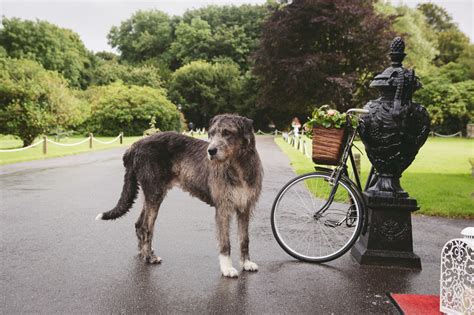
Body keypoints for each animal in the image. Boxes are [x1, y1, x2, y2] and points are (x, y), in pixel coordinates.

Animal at [96, 115, 262, 278]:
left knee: (139, 223)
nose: (211, 151)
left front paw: (246, 263)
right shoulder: (223, 209)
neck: (238, 166)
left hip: (151, 194)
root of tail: (134, 145)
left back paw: (144, 252)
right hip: (155, 193)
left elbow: (244, 238)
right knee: (146, 226)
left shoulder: (245, 208)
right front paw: (227, 268)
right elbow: (225, 242)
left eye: (227, 132)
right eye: (211, 133)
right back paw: (149, 257)